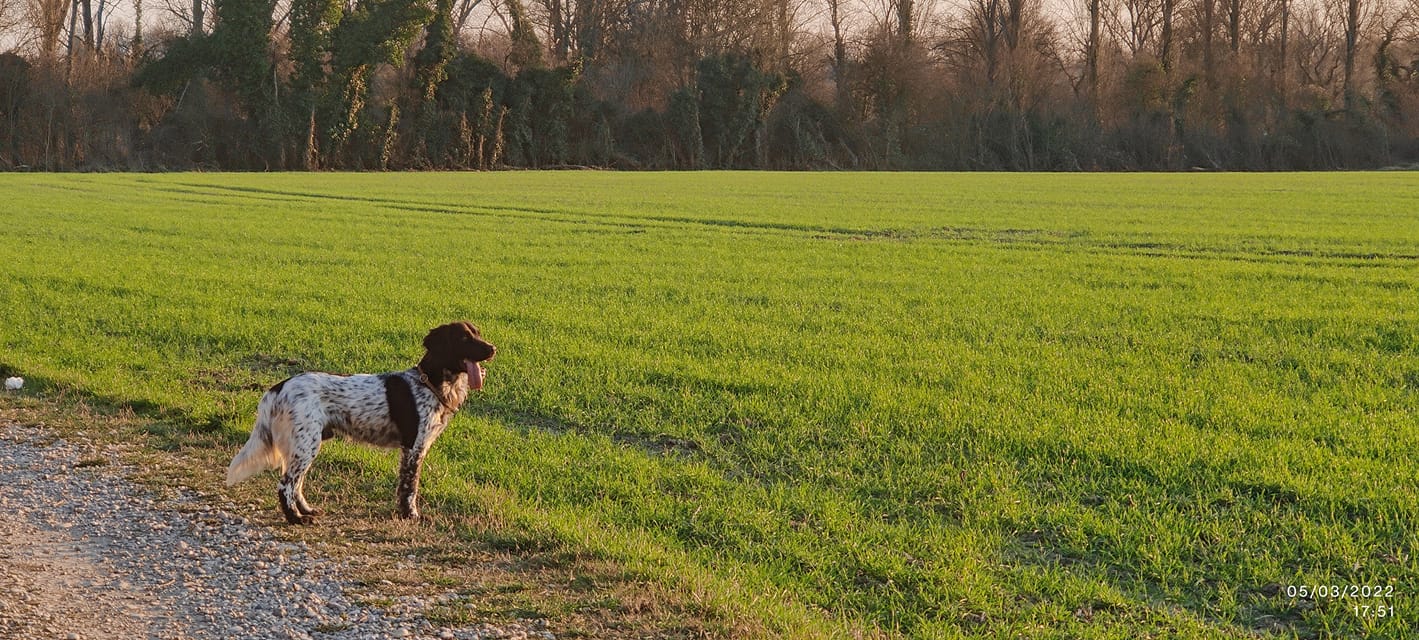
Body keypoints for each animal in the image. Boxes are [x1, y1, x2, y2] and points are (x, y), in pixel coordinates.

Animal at [224, 323, 496, 525]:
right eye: (464, 338)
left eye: (478, 333)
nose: (493, 348)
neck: (431, 382)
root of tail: (279, 387)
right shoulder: (414, 447)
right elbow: (410, 488)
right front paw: (411, 516)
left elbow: (404, 487)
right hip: (305, 444)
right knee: (286, 485)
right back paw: (296, 519)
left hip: (304, 444)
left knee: (296, 484)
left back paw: (307, 511)